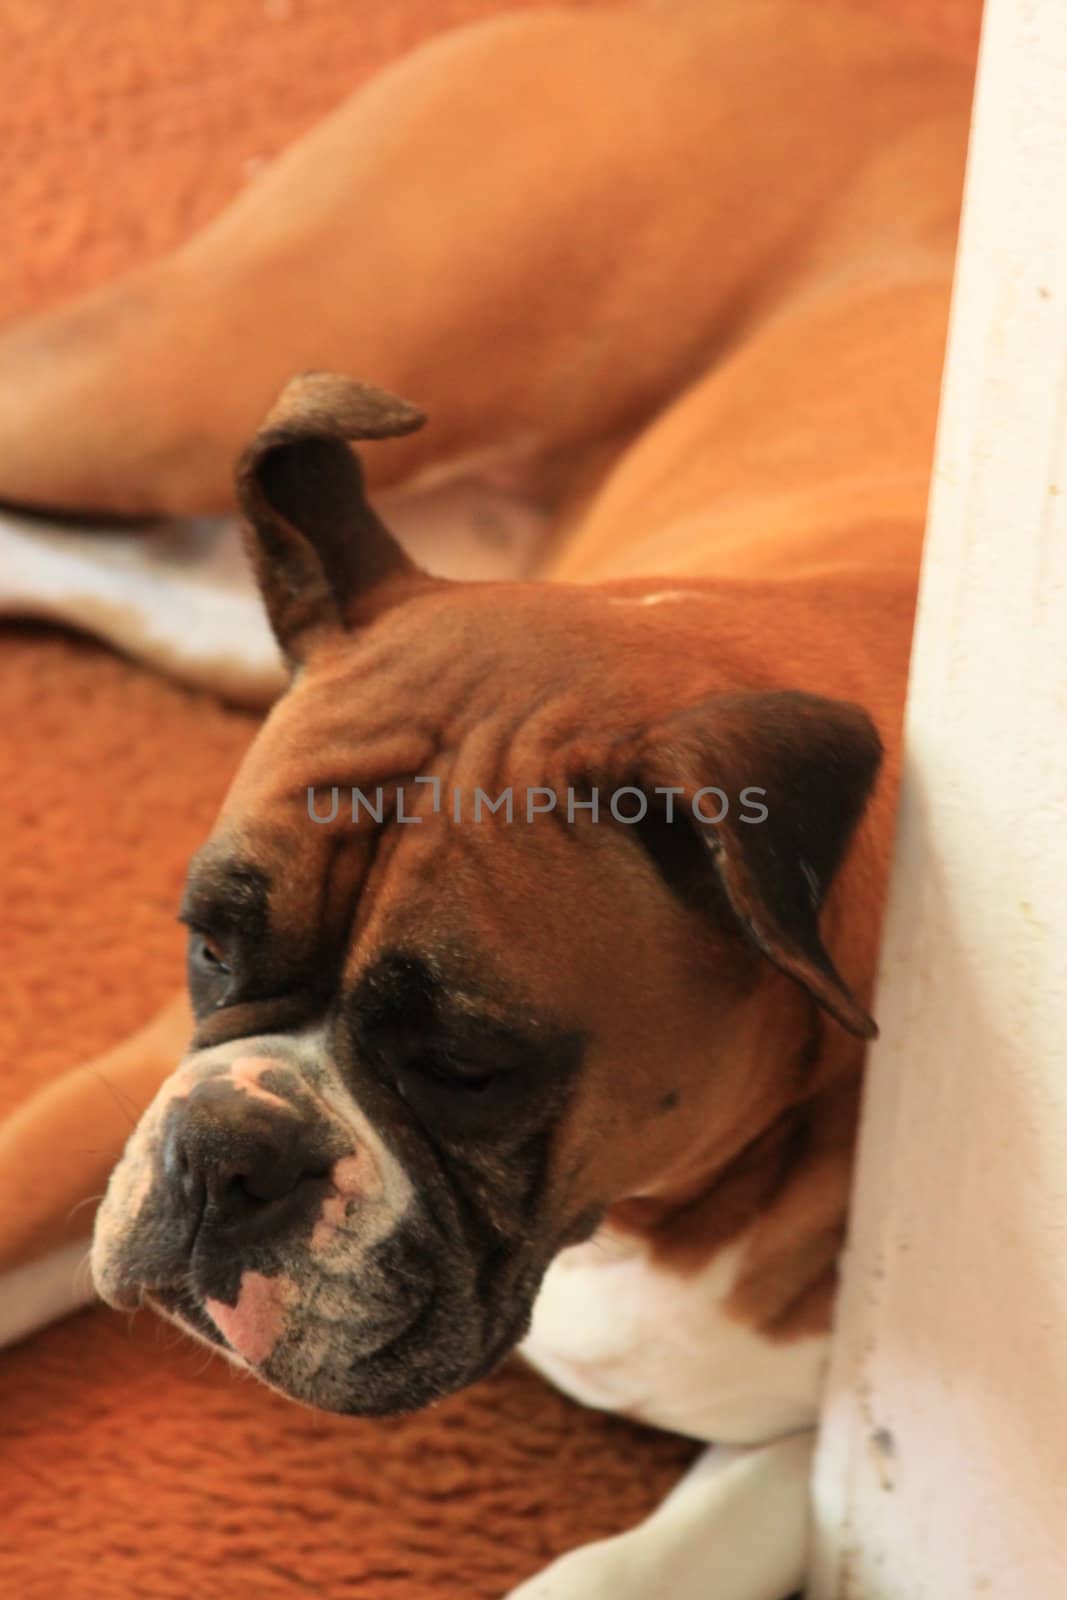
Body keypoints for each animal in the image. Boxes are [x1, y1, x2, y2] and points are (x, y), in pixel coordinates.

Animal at [0, 3, 972, 1600]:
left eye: (469, 1065)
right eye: (207, 944)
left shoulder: (834, 1464)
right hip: (153, 391)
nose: (229, 1151)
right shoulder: (129, 1081)